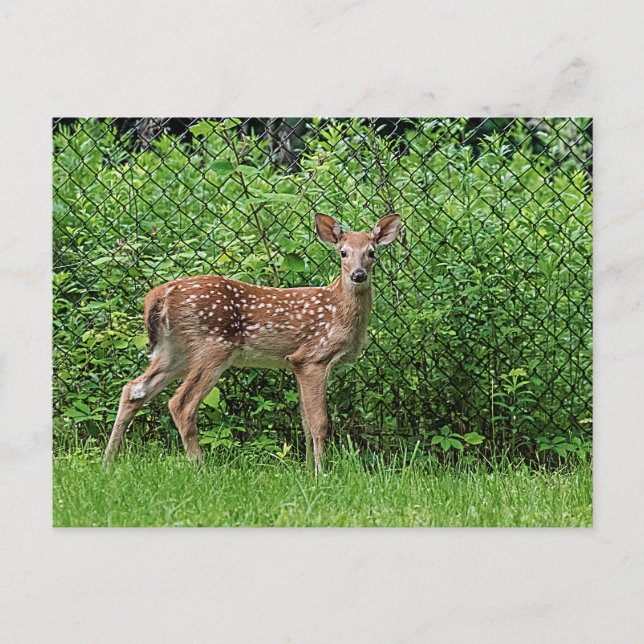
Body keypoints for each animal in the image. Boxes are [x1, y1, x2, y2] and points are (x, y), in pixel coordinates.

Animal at [103, 212, 401, 473]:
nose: (359, 275)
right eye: (343, 253)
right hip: (213, 346)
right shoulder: (313, 357)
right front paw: (321, 473)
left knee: (134, 389)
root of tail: (160, 294)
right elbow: (319, 423)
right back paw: (201, 468)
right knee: (181, 404)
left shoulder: (295, 363)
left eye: (372, 252)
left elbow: (305, 422)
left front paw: (307, 471)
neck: (338, 310)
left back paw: (109, 461)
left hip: (175, 351)